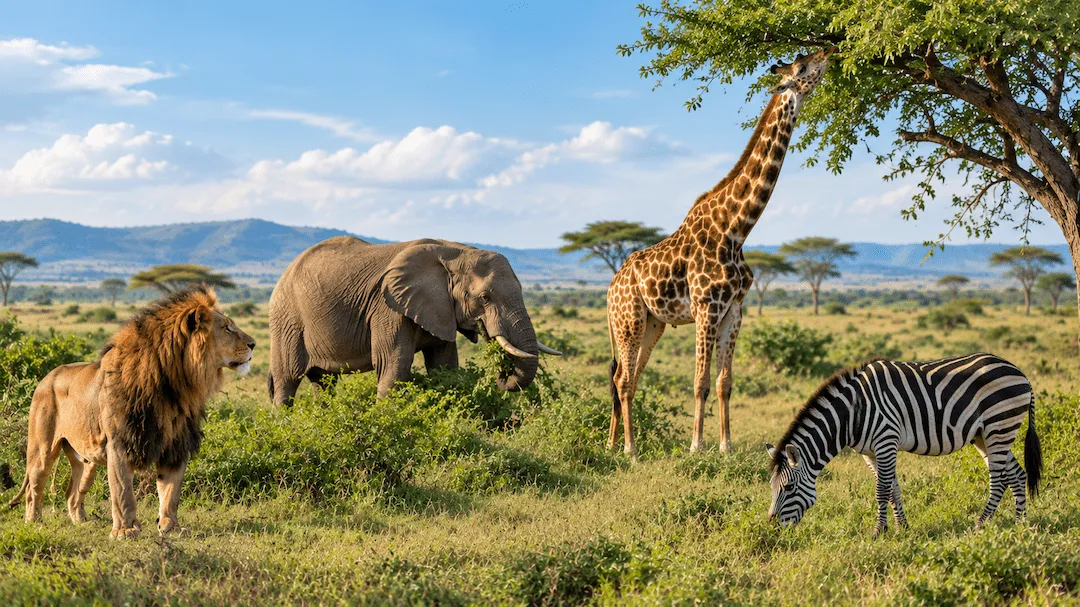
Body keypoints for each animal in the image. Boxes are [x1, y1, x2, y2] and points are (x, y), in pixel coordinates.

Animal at [7, 285, 255, 539]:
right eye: (227, 328)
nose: (253, 344)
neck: (175, 384)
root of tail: (45, 378)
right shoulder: (120, 442)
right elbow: (123, 491)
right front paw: (125, 531)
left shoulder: (175, 445)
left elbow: (171, 491)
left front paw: (171, 527)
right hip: (42, 449)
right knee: (34, 487)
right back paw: (34, 522)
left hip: (86, 459)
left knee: (73, 493)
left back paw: (82, 523)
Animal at [267, 236, 560, 404]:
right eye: (485, 298)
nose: (501, 375)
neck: (456, 252)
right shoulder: (388, 308)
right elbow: (393, 366)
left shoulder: (441, 310)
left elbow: (444, 366)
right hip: (286, 319)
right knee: (287, 380)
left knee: (323, 382)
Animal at [766, 353, 1042, 534]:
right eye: (772, 486)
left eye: (789, 487)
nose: (773, 527)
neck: (852, 413)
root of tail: (1020, 372)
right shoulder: (870, 452)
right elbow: (893, 489)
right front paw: (902, 528)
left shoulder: (886, 440)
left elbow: (881, 490)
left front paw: (879, 531)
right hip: (986, 434)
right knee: (1016, 474)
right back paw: (1020, 523)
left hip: (999, 425)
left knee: (999, 480)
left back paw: (980, 525)